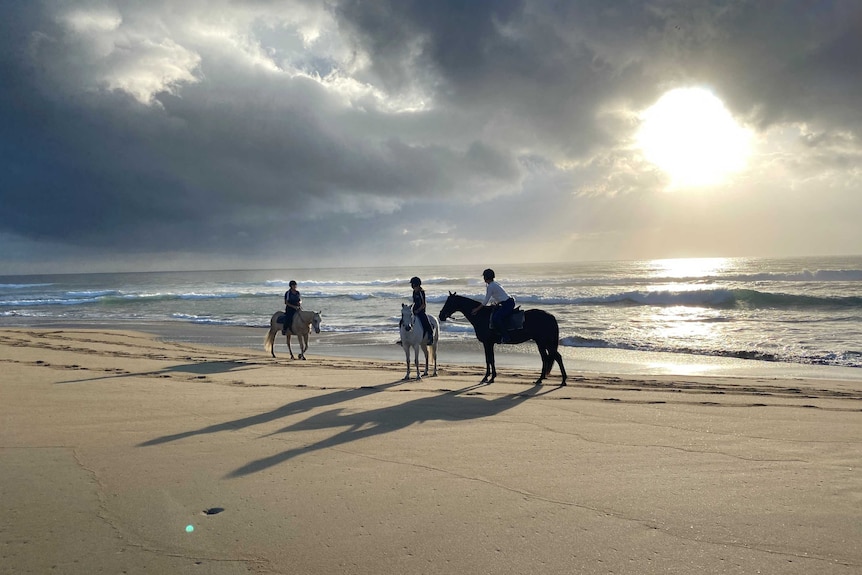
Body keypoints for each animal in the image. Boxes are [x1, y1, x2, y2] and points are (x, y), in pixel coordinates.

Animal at [438, 292, 568, 388]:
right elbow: (490, 359)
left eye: (449, 302)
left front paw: (489, 377)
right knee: (546, 358)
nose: (441, 316)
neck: (481, 316)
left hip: (545, 342)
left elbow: (490, 359)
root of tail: (550, 316)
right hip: (541, 342)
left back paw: (563, 380)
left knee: (557, 357)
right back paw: (540, 379)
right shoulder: (488, 343)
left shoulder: (487, 343)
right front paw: (489, 377)